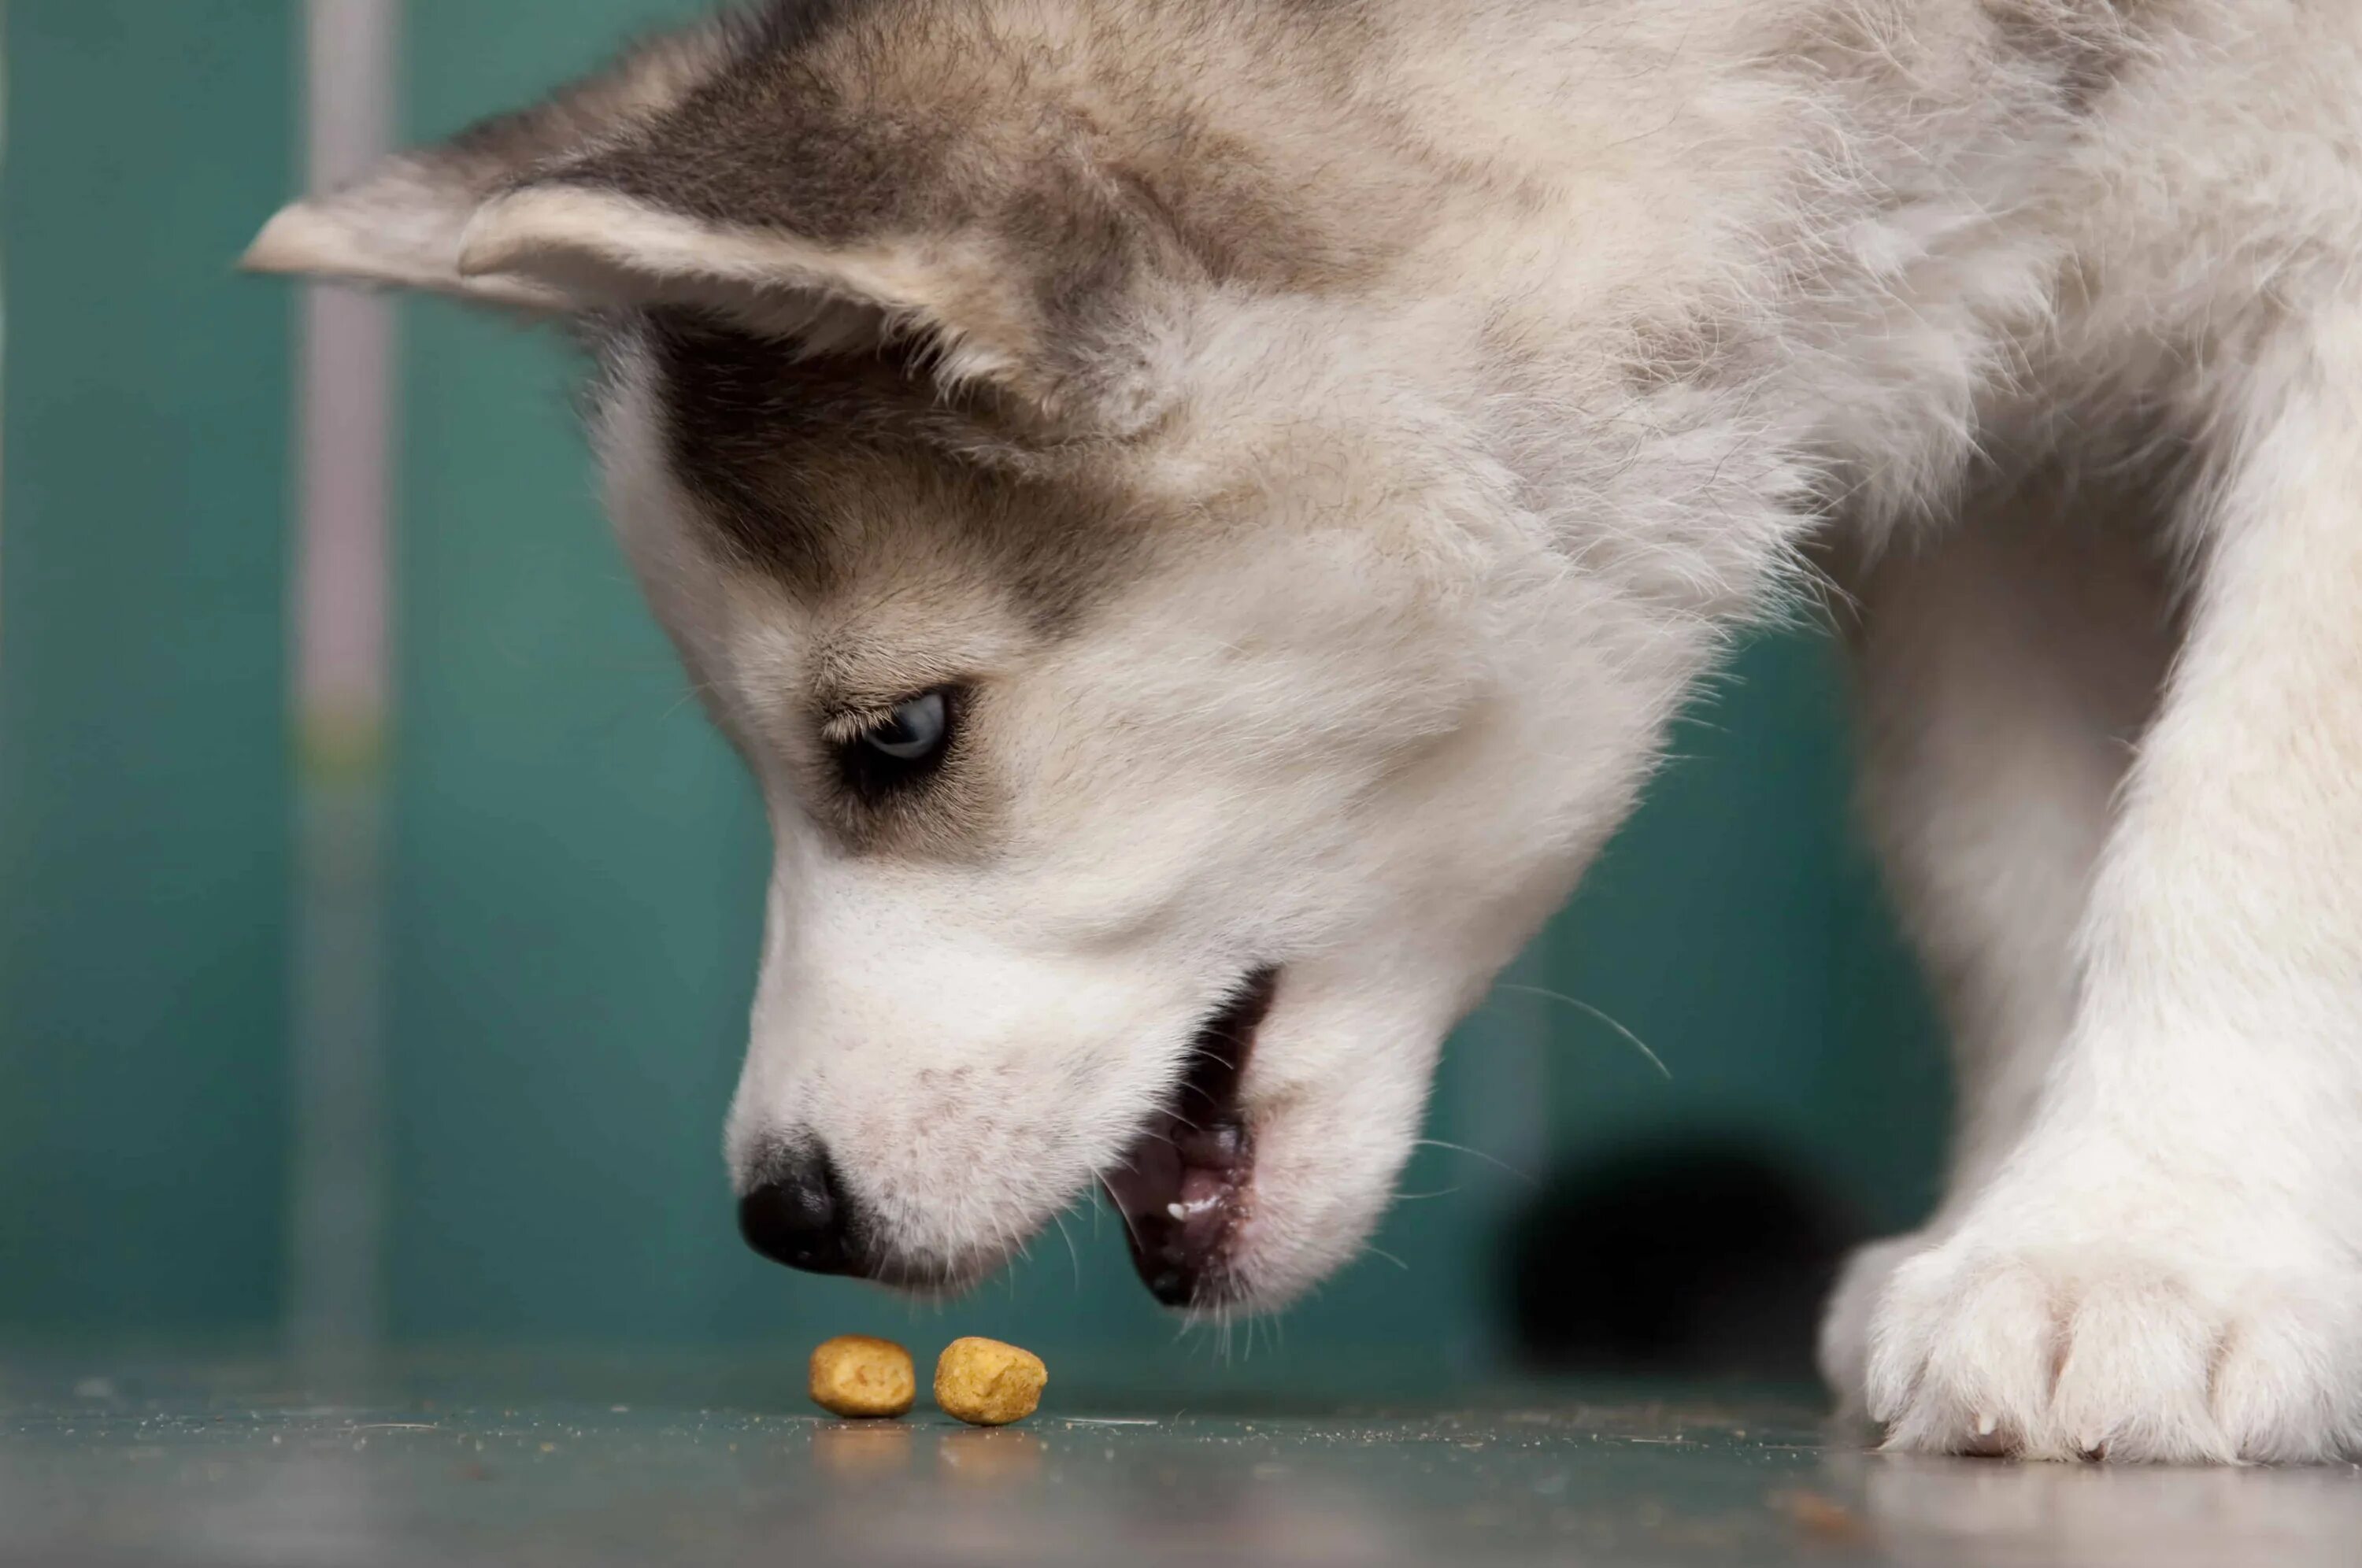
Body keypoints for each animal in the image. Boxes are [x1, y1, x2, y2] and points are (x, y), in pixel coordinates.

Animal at [249, 0, 2362, 1464]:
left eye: (900, 736)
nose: (786, 1214)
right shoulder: (1998, 464)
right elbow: (1999, 855)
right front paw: (2024, 1218)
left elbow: (2246, 793)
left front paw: (2135, 1247)